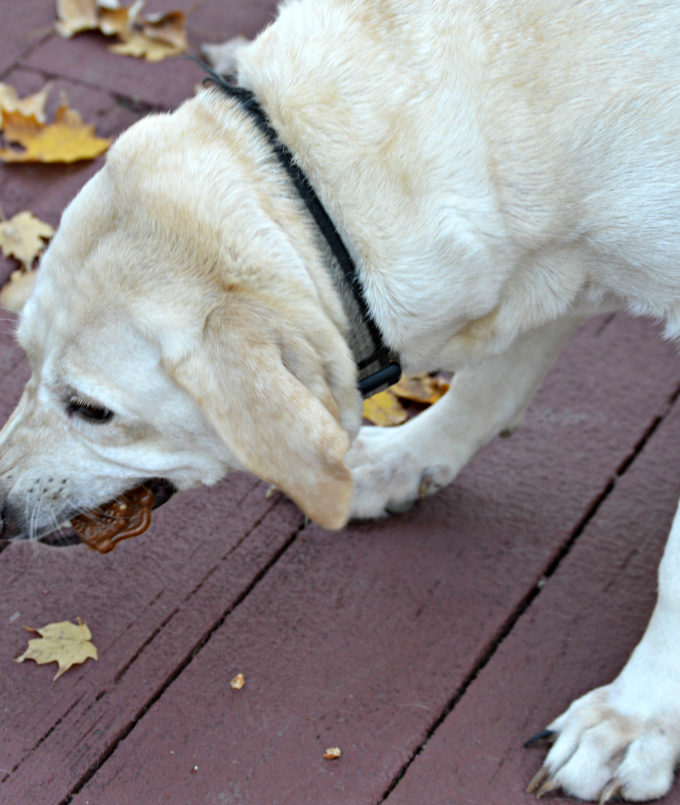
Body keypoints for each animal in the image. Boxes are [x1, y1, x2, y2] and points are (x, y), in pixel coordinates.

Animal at [1, 0, 680, 796]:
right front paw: (400, 462)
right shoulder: (555, 259)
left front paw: (636, 718)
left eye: (92, 409)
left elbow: (675, 567)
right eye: (25, 358)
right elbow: (491, 382)